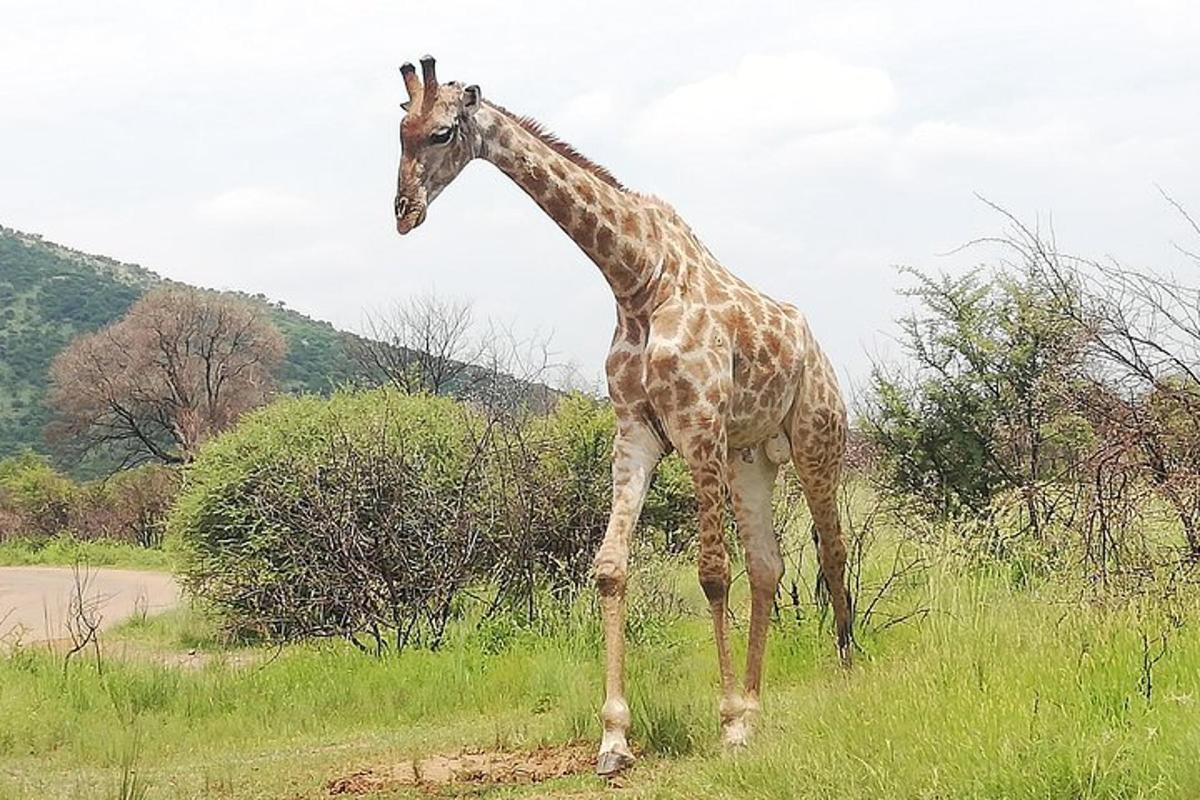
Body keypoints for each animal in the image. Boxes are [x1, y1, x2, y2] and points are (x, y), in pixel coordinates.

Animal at [393, 56, 854, 777]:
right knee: (769, 567)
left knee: (831, 551)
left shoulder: (698, 426)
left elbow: (710, 573)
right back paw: (757, 709)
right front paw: (614, 739)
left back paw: (843, 678)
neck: (637, 278)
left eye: (442, 132)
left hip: (815, 440)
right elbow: (610, 568)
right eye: (399, 132)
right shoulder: (635, 431)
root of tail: (820, 351)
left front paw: (725, 723)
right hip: (750, 457)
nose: (403, 212)